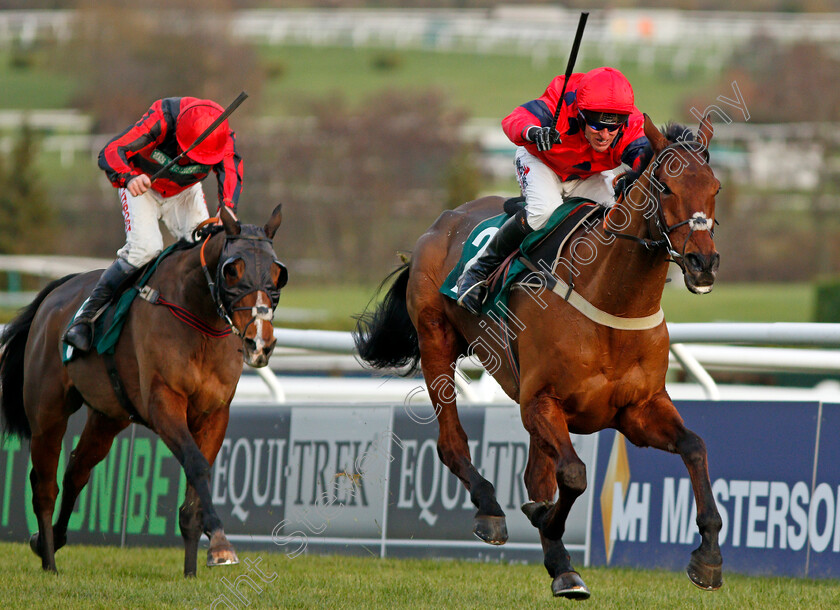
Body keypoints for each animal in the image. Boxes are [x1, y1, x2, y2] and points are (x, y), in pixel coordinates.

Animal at [0, 204, 288, 576]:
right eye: (232, 270)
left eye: (278, 273)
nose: (260, 342)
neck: (199, 319)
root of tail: (55, 293)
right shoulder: (164, 403)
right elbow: (197, 465)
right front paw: (221, 544)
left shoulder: (215, 414)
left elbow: (195, 490)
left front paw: (193, 569)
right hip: (47, 413)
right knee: (45, 487)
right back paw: (49, 560)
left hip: (107, 416)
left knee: (77, 469)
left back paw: (52, 540)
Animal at [354, 115, 720, 600]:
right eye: (666, 186)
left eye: (715, 186)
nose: (703, 262)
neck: (612, 301)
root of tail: (442, 222)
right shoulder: (542, 400)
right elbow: (575, 476)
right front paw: (544, 521)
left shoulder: (637, 409)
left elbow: (694, 446)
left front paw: (708, 556)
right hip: (436, 341)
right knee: (452, 442)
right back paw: (491, 508)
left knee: (535, 472)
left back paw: (560, 563)